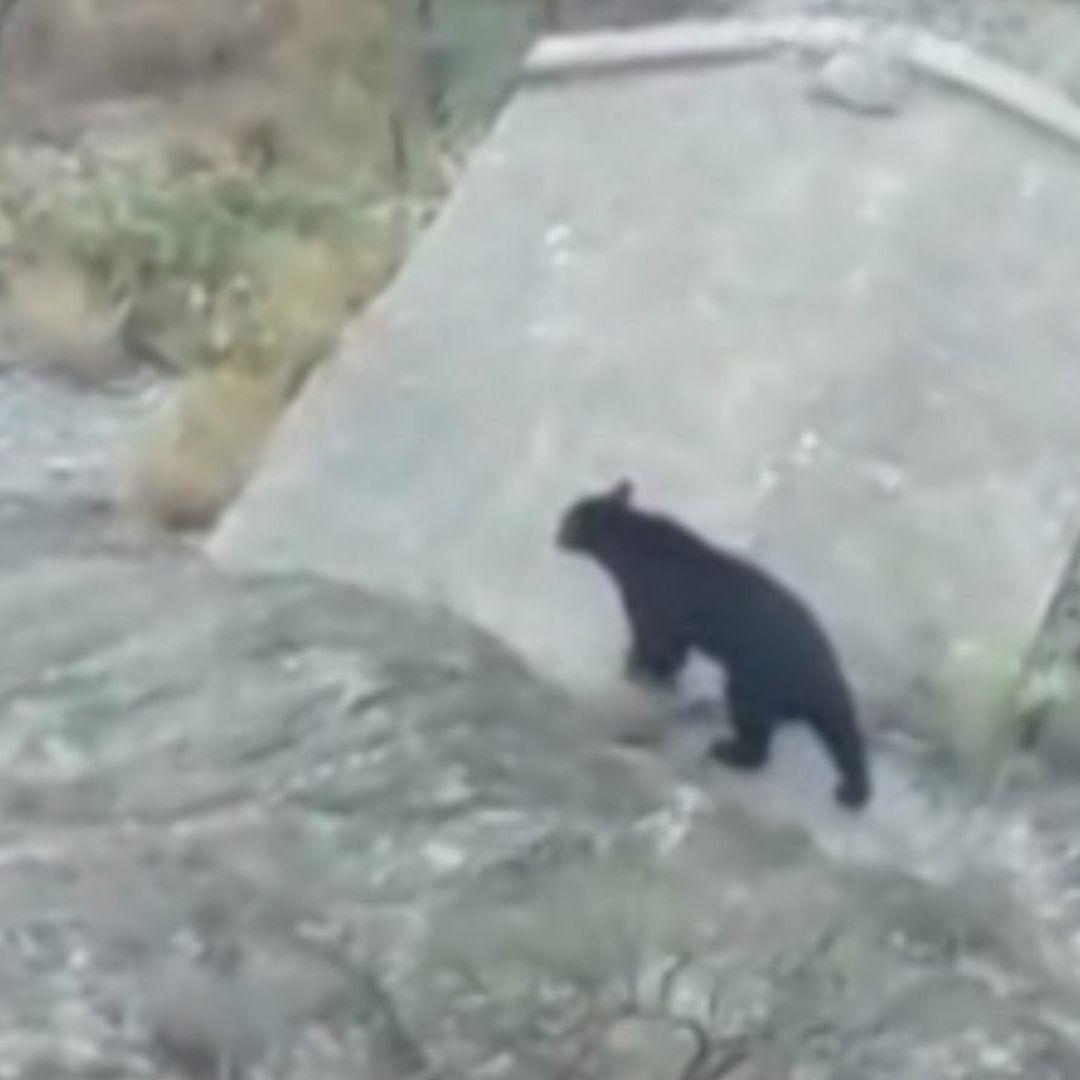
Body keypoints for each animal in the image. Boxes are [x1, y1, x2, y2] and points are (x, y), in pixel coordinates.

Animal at [556, 480, 871, 809]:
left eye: (568, 518)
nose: (556, 534)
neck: (628, 549)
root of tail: (825, 667)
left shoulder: (653, 597)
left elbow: (655, 641)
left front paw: (637, 666)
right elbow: (674, 649)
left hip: (757, 676)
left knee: (752, 719)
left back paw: (729, 751)